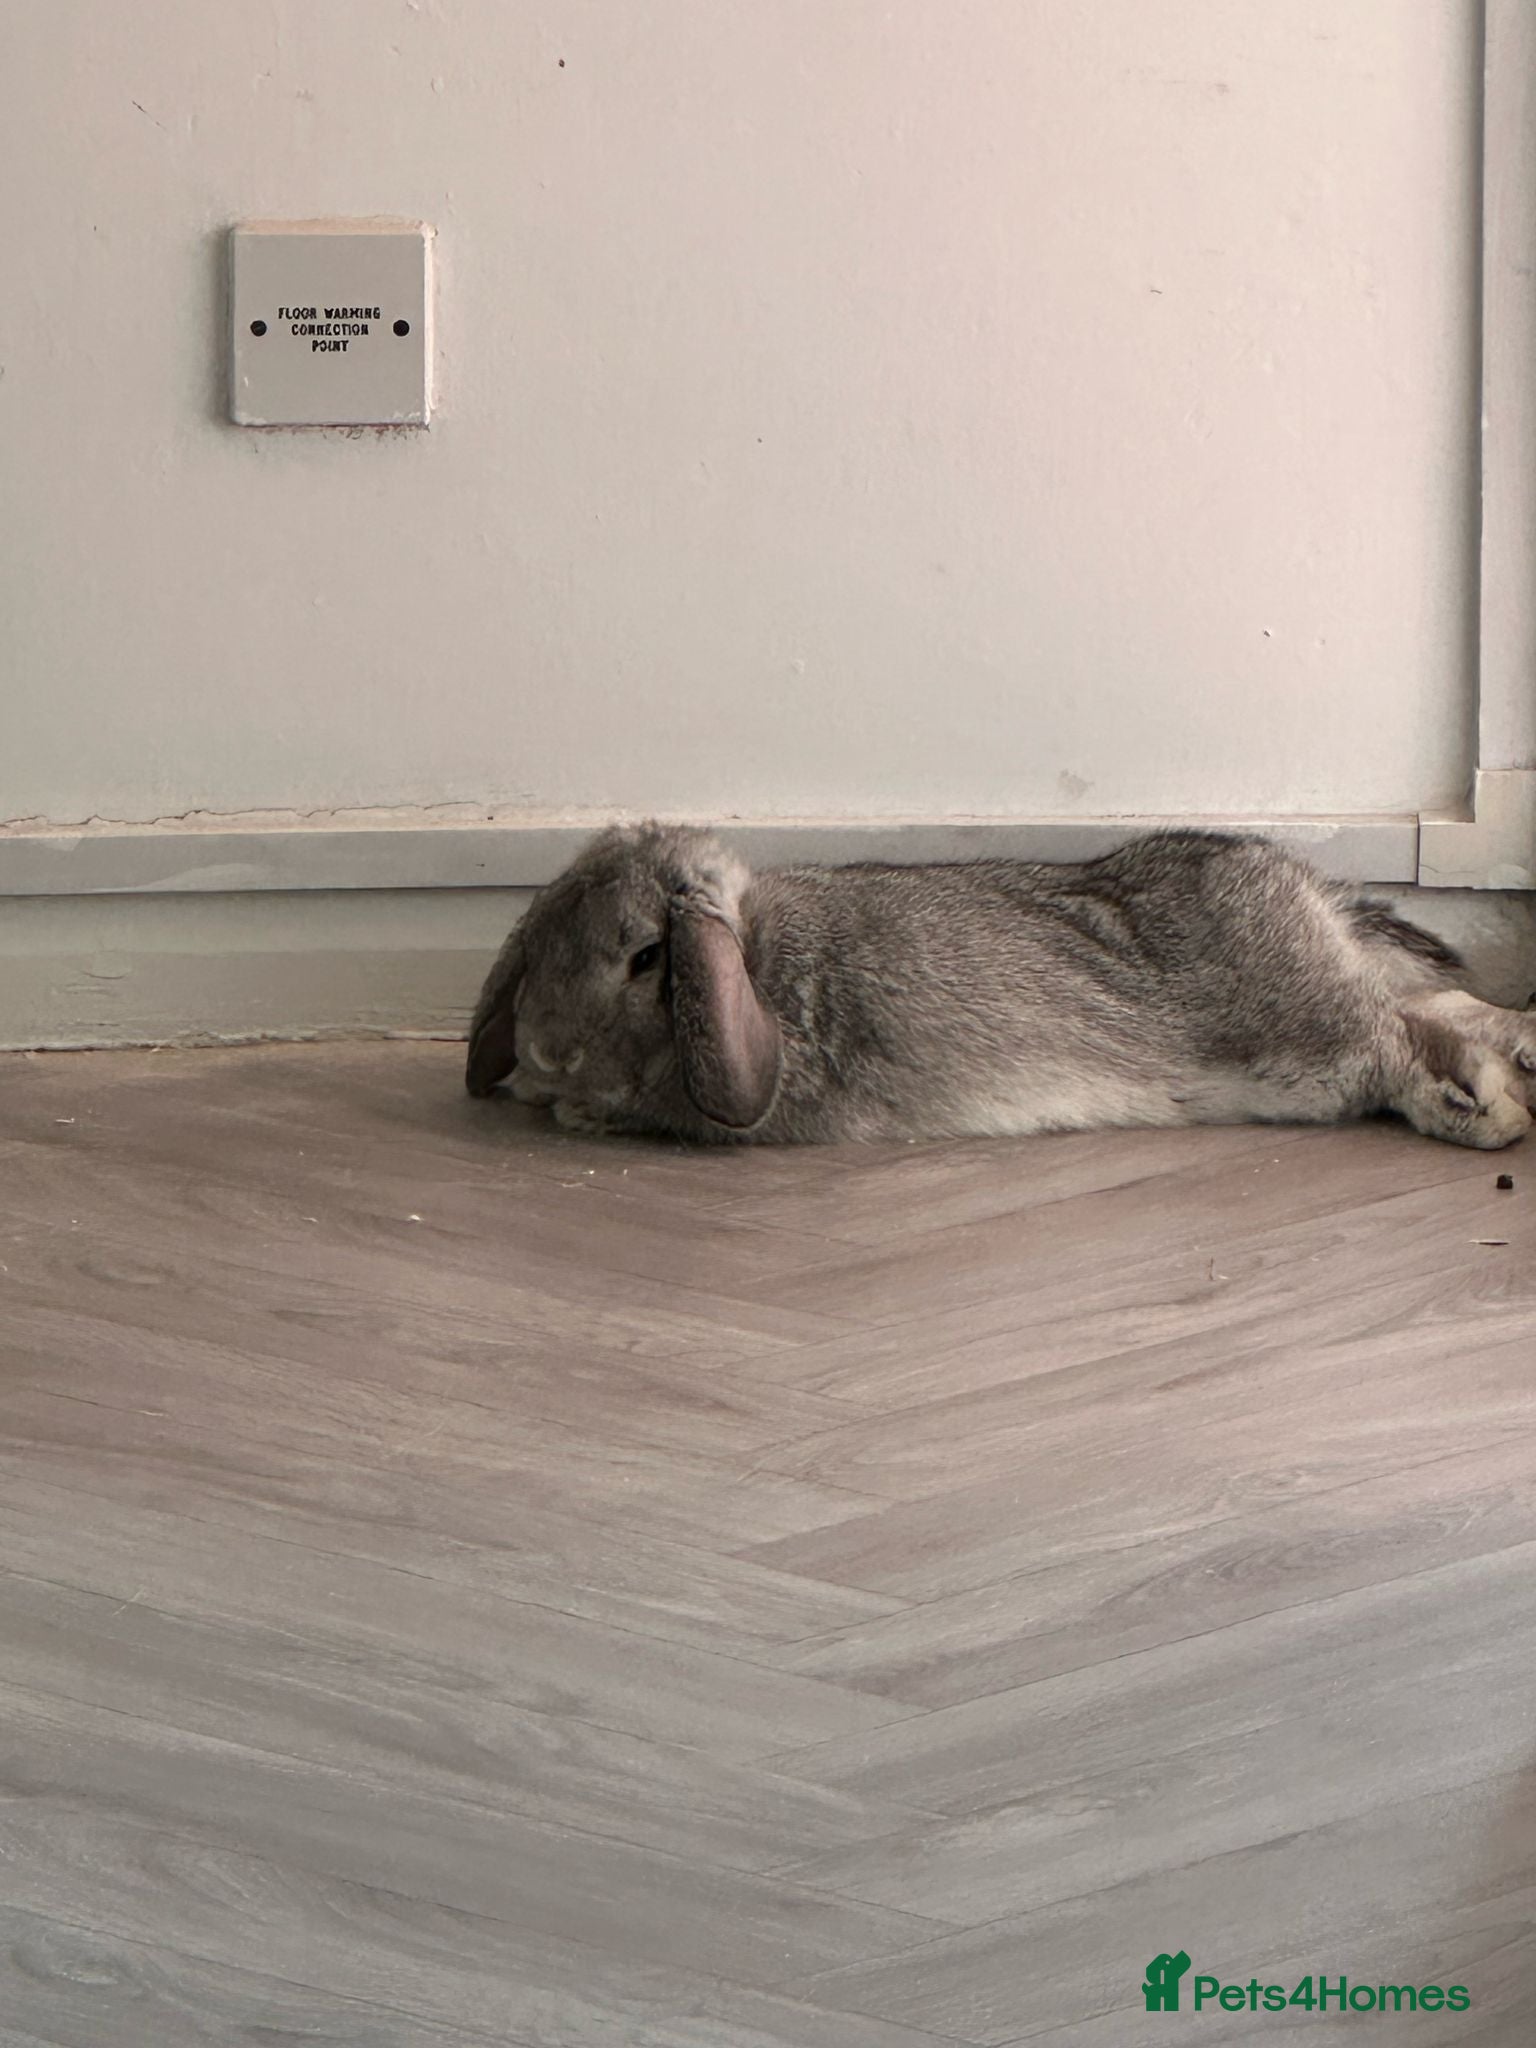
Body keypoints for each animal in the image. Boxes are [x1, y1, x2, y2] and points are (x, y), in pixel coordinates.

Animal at [465, 822, 1536, 1150]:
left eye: (647, 958)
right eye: (546, 928)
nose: (548, 1046)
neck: (759, 963)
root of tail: (1308, 890)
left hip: (1309, 1033)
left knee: (1402, 1040)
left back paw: (1486, 1110)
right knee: (1433, 1014)